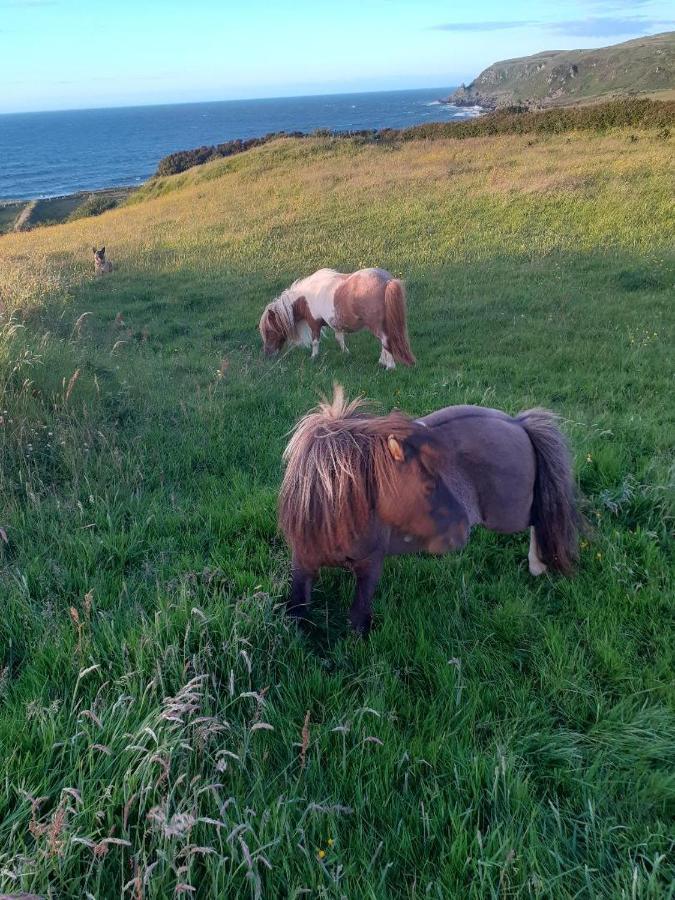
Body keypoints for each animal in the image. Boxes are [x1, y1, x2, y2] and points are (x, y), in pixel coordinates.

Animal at [260, 268, 414, 370]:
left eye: (269, 331)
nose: (267, 354)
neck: (306, 297)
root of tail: (387, 281)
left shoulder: (314, 324)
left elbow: (315, 342)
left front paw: (313, 357)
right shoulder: (337, 325)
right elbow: (340, 339)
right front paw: (346, 353)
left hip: (376, 325)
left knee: (385, 341)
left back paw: (390, 366)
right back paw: (382, 361)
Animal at [278, 384, 580, 632]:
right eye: (427, 486)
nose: (460, 533)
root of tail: (517, 424)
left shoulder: (371, 564)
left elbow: (358, 615)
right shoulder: (303, 561)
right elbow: (298, 608)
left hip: (508, 514)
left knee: (540, 518)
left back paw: (537, 566)